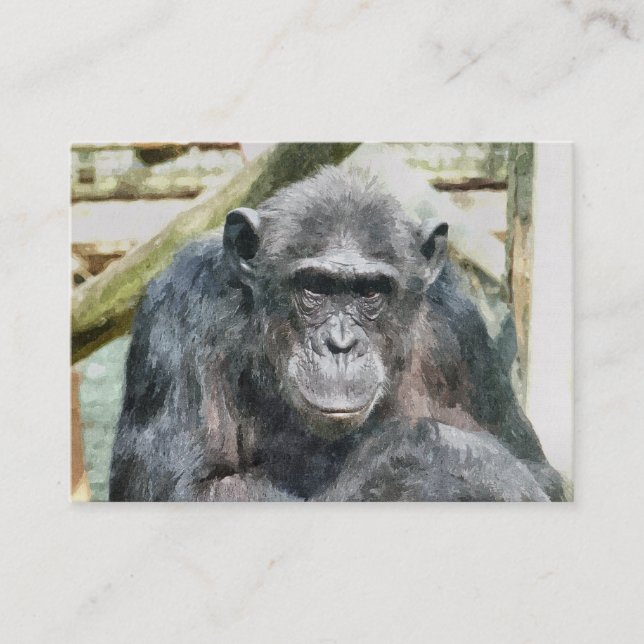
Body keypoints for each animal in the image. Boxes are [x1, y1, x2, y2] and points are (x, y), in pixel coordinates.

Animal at [109, 166, 563, 502]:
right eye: (315, 288)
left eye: (370, 291)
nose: (340, 345)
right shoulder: (182, 310)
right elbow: (184, 489)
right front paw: (438, 458)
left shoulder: (459, 330)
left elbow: (542, 474)